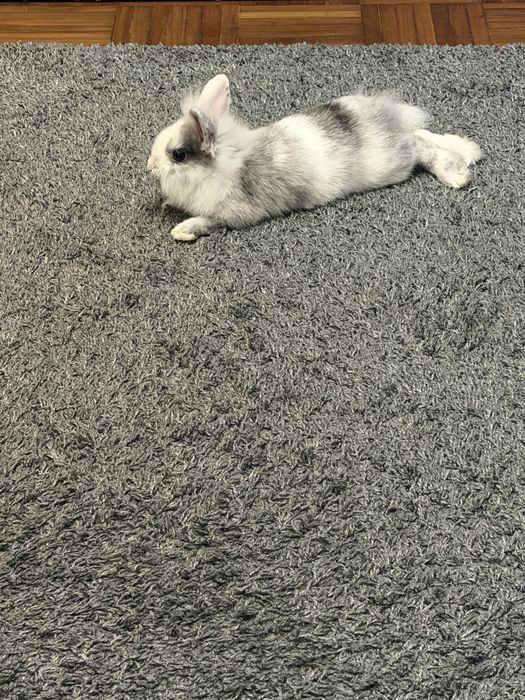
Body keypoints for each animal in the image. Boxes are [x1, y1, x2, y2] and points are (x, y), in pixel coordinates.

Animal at [147, 74, 482, 242]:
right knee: (422, 135)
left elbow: (210, 222)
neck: (223, 165)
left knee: (420, 146)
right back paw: (469, 152)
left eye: (178, 154)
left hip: (394, 162)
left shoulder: (237, 213)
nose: (150, 167)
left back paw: (456, 174)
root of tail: (390, 116)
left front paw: (182, 231)